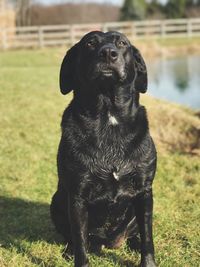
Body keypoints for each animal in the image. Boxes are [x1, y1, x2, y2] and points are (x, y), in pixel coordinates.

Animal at [49, 31, 156, 267]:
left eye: (122, 43)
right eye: (90, 43)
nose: (108, 53)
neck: (108, 117)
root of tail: (106, 243)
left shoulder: (144, 192)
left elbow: (147, 236)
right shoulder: (77, 196)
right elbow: (80, 241)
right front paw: (78, 258)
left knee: (135, 233)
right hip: (58, 201)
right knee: (74, 237)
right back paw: (69, 250)